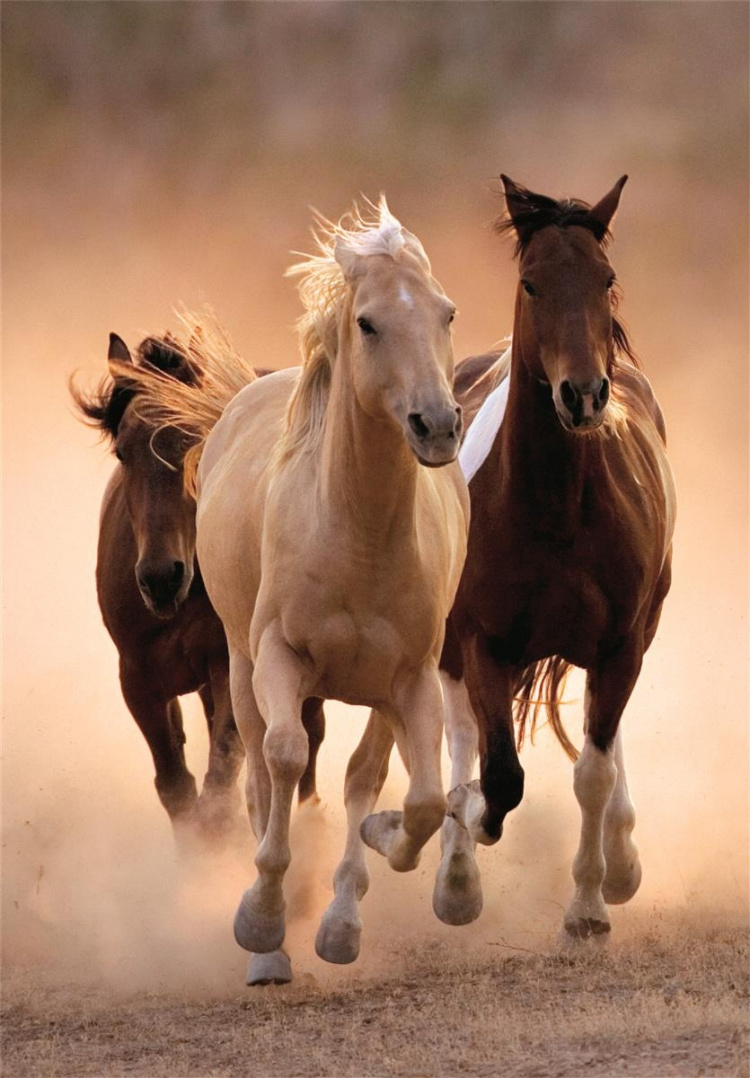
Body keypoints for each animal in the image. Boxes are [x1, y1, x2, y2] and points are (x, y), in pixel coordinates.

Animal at [71, 329, 326, 850]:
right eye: (122, 452)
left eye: (196, 441)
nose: (160, 577)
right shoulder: (139, 679)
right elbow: (177, 787)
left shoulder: (228, 665)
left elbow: (221, 779)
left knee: (309, 739)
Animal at [126, 200, 470, 985]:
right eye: (368, 322)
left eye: (446, 312)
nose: (437, 426)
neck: (356, 534)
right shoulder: (277, 659)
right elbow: (282, 760)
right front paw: (261, 920)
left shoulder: (410, 680)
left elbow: (414, 797)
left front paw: (370, 863)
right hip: (239, 667)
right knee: (260, 771)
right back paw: (271, 947)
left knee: (361, 775)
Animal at [436, 176, 676, 942]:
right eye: (532, 282)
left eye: (605, 278)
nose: (583, 394)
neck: (557, 507)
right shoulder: (482, 642)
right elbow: (498, 775)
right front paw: (467, 828)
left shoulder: (621, 644)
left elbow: (593, 771)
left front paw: (591, 904)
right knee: (460, 733)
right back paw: (454, 874)